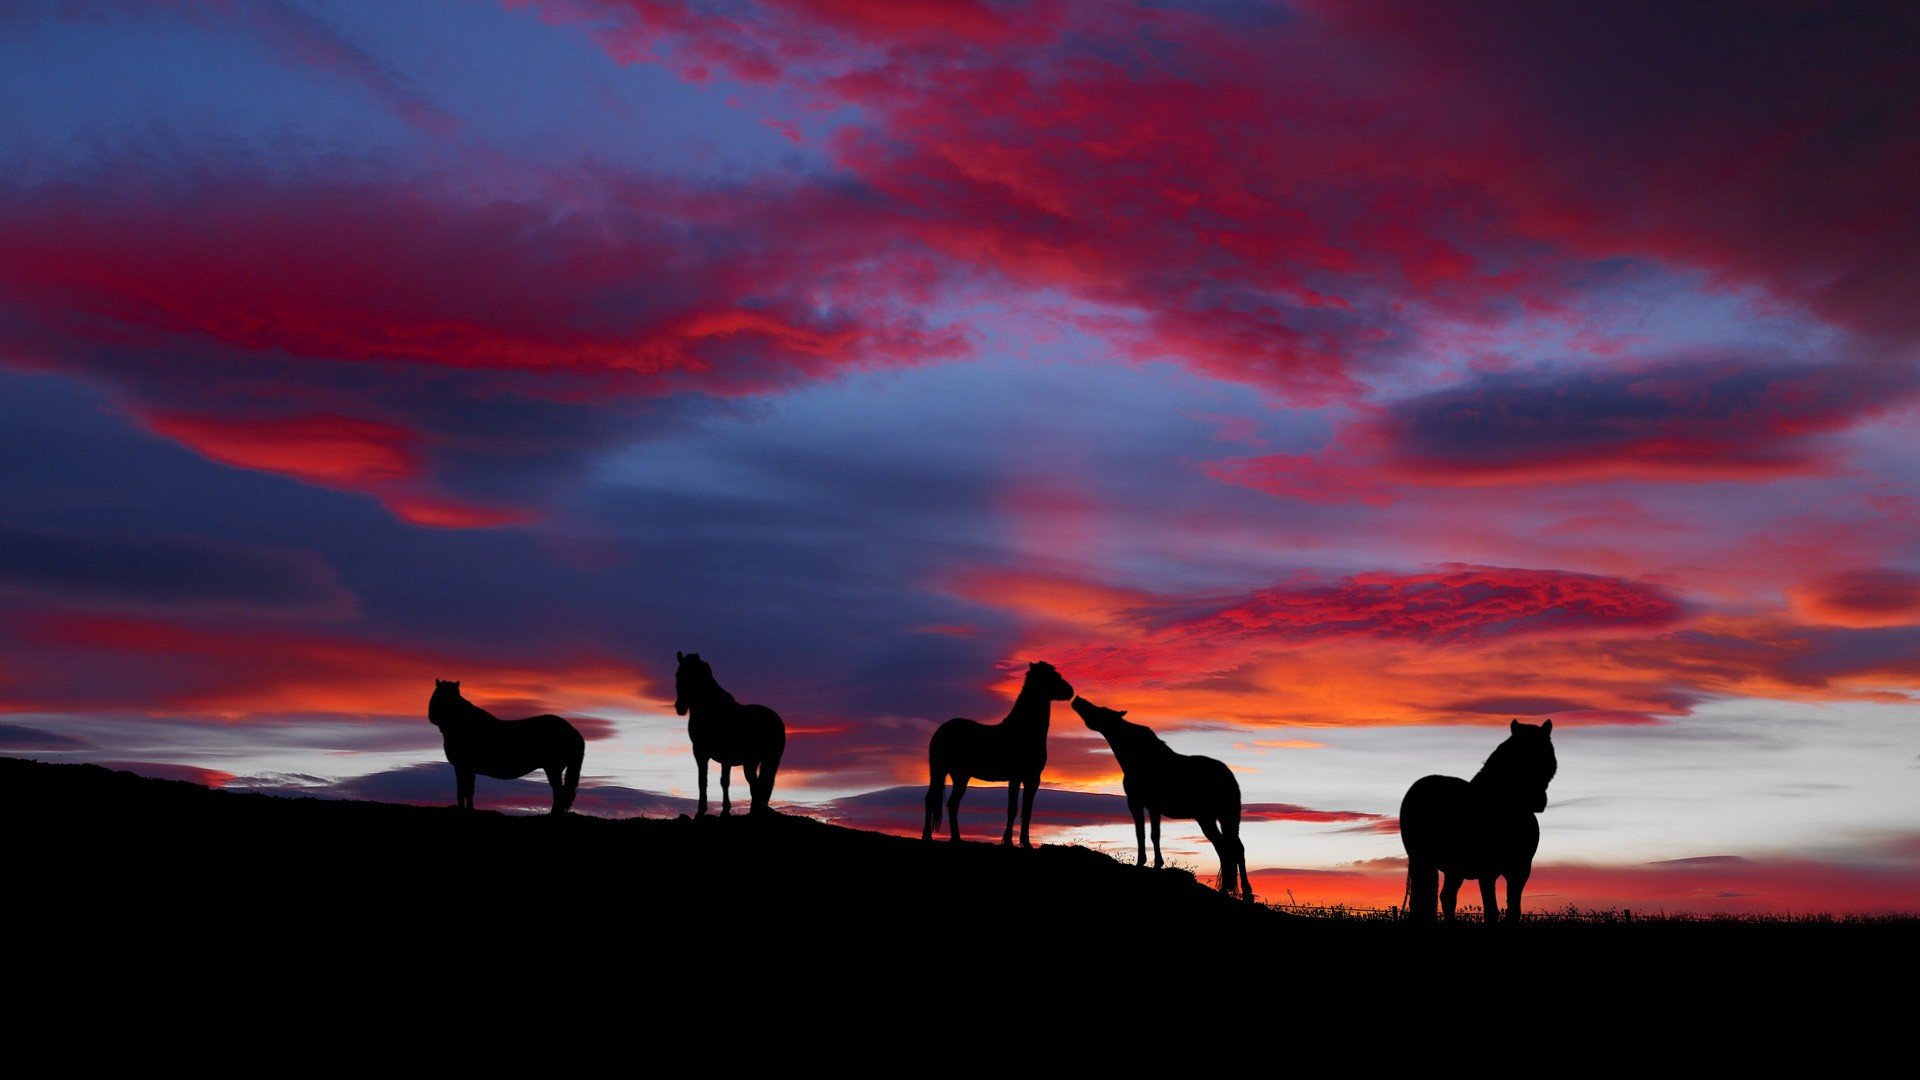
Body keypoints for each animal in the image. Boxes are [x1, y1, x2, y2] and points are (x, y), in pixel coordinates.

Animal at [428, 676, 583, 810]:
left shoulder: (464, 766)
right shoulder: (464, 768)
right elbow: (465, 791)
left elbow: (465, 791)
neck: (463, 723)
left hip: (553, 768)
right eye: (437, 694)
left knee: (559, 793)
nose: (433, 716)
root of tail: (572, 730)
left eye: (449, 697)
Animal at [672, 645, 783, 814]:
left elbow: (724, 781)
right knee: (758, 785)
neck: (713, 709)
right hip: (756, 762)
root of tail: (776, 719)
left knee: (758, 786)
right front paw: (701, 811)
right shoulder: (700, 753)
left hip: (759, 761)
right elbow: (702, 781)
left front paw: (724, 810)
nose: (680, 707)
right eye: (678, 675)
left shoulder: (725, 755)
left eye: (695, 676)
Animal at [917, 661, 1075, 845]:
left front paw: (1024, 843)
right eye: (1051, 676)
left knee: (948, 803)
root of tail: (940, 730)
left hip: (956, 775)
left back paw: (953, 838)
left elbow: (1027, 811)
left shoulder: (1032, 778)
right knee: (937, 801)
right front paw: (1010, 842)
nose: (1070, 690)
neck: (1024, 731)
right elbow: (1013, 809)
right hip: (943, 772)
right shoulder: (1017, 777)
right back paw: (931, 836)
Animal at [1075, 691, 1251, 895]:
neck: (1139, 758)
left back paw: (1245, 892)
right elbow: (1142, 833)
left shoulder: (1148, 805)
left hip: (1222, 816)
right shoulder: (1138, 803)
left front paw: (1154, 864)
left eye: (1101, 710)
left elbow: (1152, 834)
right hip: (1211, 818)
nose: (1077, 699)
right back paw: (1226, 889)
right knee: (1225, 848)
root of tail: (1230, 777)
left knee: (1235, 848)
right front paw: (1145, 863)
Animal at [1397, 718, 1559, 922]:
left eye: (1547, 755)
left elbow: (1514, 912)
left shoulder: (1520, 871)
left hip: (1454, 869)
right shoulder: (1487, 872)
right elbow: (1491, 912)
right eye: (1517, 755)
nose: (1538, 801)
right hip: (1424, 862)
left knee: (1447, 897)